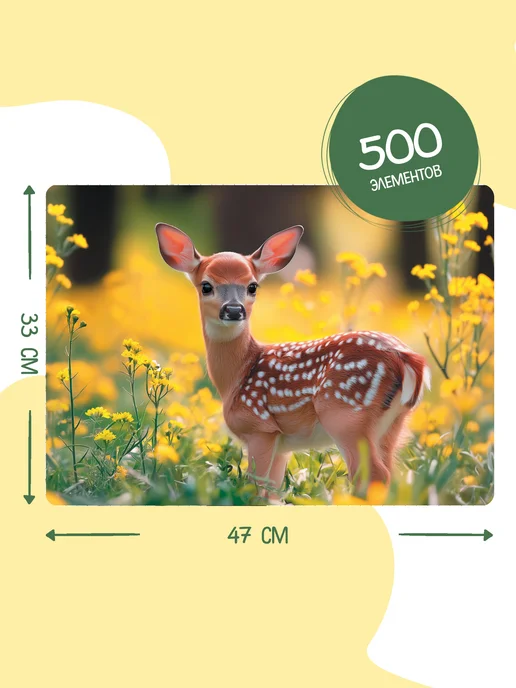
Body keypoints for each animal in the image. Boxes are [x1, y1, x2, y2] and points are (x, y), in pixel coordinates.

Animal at [156, 223, 430, 502]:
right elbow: (272, 493)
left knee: (373, 475)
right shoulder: (282, 444)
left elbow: (258, 488)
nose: (233, 310)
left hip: (346, 415)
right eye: (206, 286)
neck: (237, 376)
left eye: (252, 286)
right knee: (392, 476)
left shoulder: (261, 427)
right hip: (394, 423)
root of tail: (407, 359)